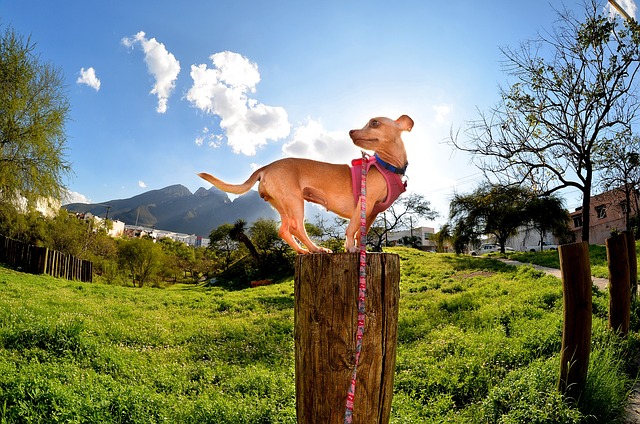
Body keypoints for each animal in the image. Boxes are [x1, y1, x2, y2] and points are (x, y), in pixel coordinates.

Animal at [198, 114, 412, 253]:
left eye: (374, 123)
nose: (351, 131)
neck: (387, 165)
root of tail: (266, 167)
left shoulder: (372, 212)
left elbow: (362, 233)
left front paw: (362, 250)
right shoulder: (363, 202)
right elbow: (351, 229)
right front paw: (351, 248)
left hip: (282, 204)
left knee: (284, 230)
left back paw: (302, 251)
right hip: (295, 201)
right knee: (296, 228)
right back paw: (316, 248)